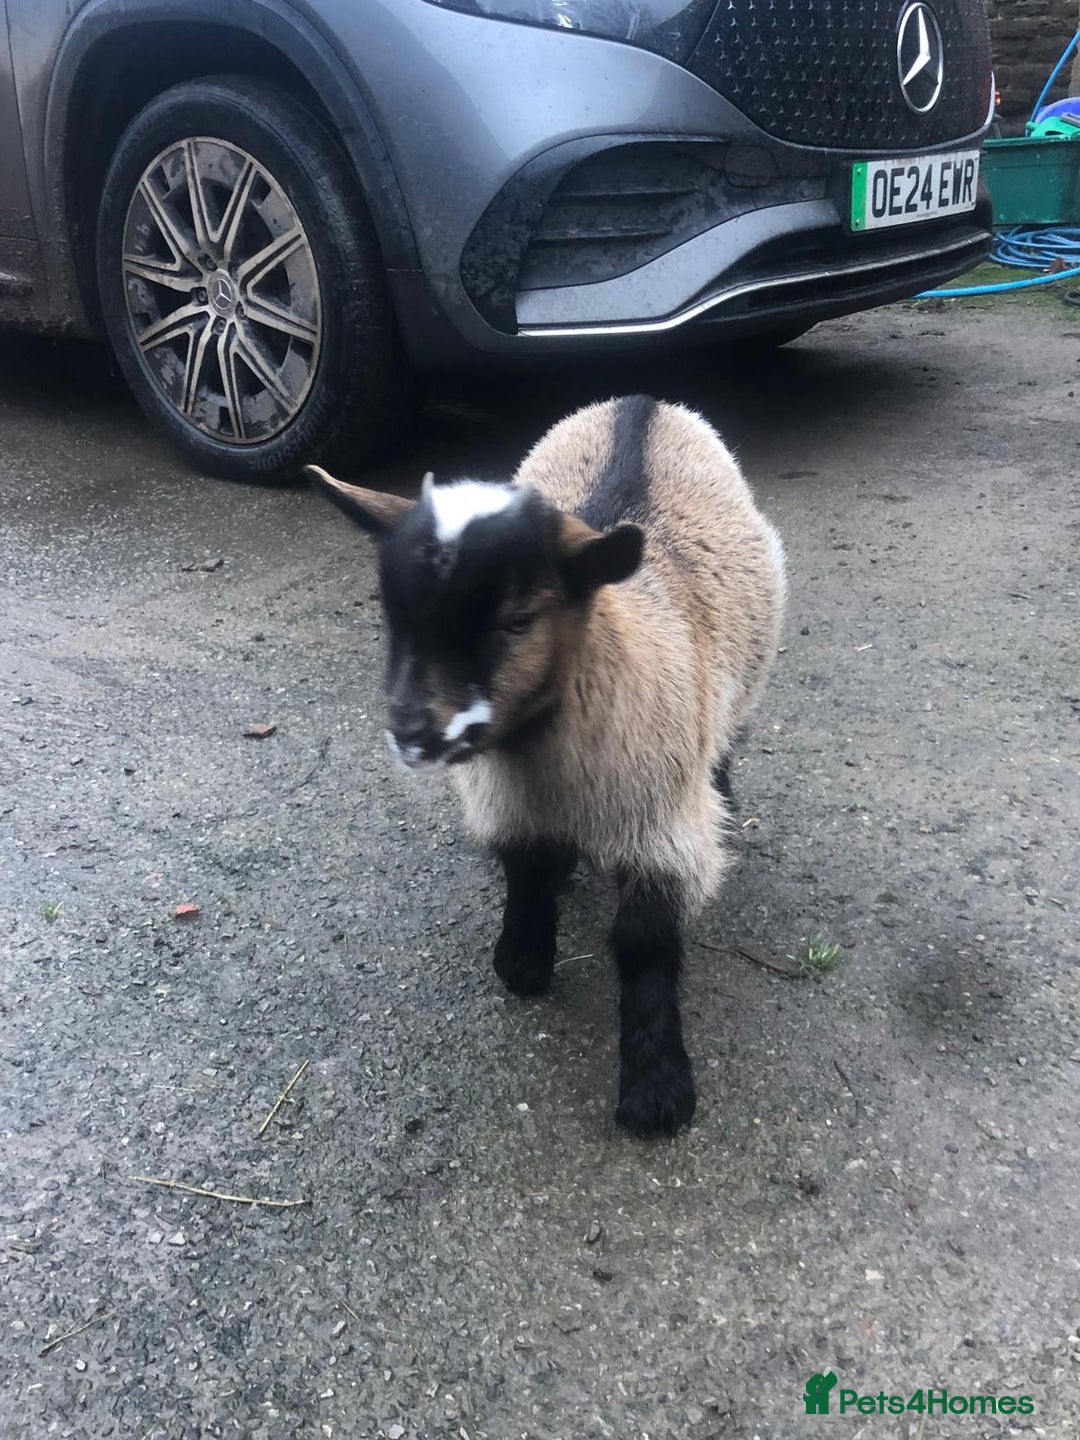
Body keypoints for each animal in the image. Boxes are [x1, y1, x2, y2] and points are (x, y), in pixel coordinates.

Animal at [308, 394, 786, 1136]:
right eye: (394, 614)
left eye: (519, 619)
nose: (414, 732)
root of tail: (642, 403)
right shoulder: (508, 801)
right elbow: (525, 870)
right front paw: (524, 960)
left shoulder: (663, 825)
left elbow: (644, 943)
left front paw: (656, 1090)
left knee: (727, 740)